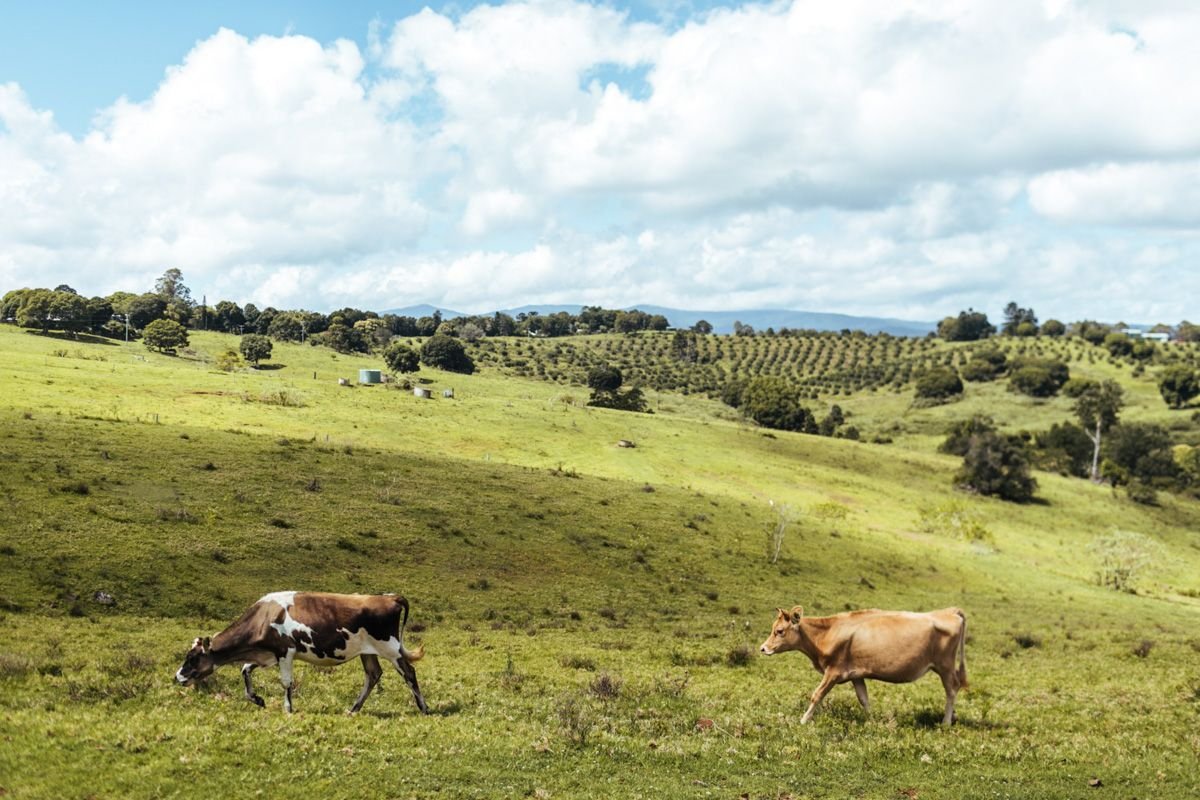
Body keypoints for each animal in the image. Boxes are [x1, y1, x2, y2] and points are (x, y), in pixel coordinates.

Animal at [174, 592, 427, 714]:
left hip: (390, 648)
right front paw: (257, 699)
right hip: (368, 651)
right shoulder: (267, 654)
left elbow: (286, 682)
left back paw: (424, 708)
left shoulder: (285, 651)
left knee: (409, 673)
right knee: (373, 675)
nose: (177, 677)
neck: (264, 616)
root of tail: (388, 597)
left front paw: (288, 708)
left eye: (193, 658)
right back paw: (353, 709)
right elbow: (245, 670)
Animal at [758, 606, 964, 724]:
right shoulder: (856, 674)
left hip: (945, 665)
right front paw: (872, 720)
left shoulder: (833, 671)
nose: (763, 648)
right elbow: (864, 699)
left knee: (952, 689)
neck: (827, 633)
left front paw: (803, 720)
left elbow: (817, 695)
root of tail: (950, 611)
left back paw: (946, 721)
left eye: (779, 631)